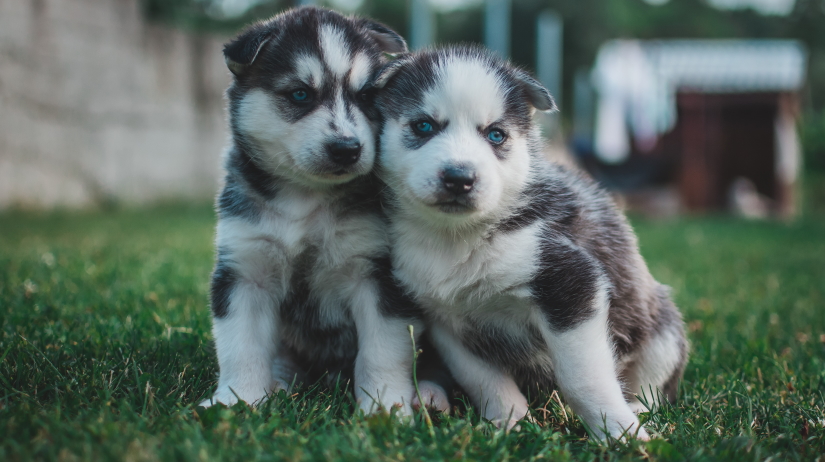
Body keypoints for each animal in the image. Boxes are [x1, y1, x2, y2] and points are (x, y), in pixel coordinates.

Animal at [199, 6, 444, 416]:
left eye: (366, 96)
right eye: (300, 94)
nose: (347, 148)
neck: (305, 199)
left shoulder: (375, 273)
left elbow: (381, 351)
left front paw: (385, 407)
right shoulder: (245, 269)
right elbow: (241, 346)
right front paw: (237, 401)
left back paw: (430, 393)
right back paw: (279, 383)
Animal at [372, 47, 684, 440]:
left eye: (496, 135)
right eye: (423, 126)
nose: (459, 178)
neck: (456, 238)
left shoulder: (571, 284)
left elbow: (583, 378)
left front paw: (620, 432)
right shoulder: (446, 321)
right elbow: (483, 380)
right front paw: (508, 424)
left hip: (663, 330)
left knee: (655, 384)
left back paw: (641, 411)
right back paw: (431, 397)